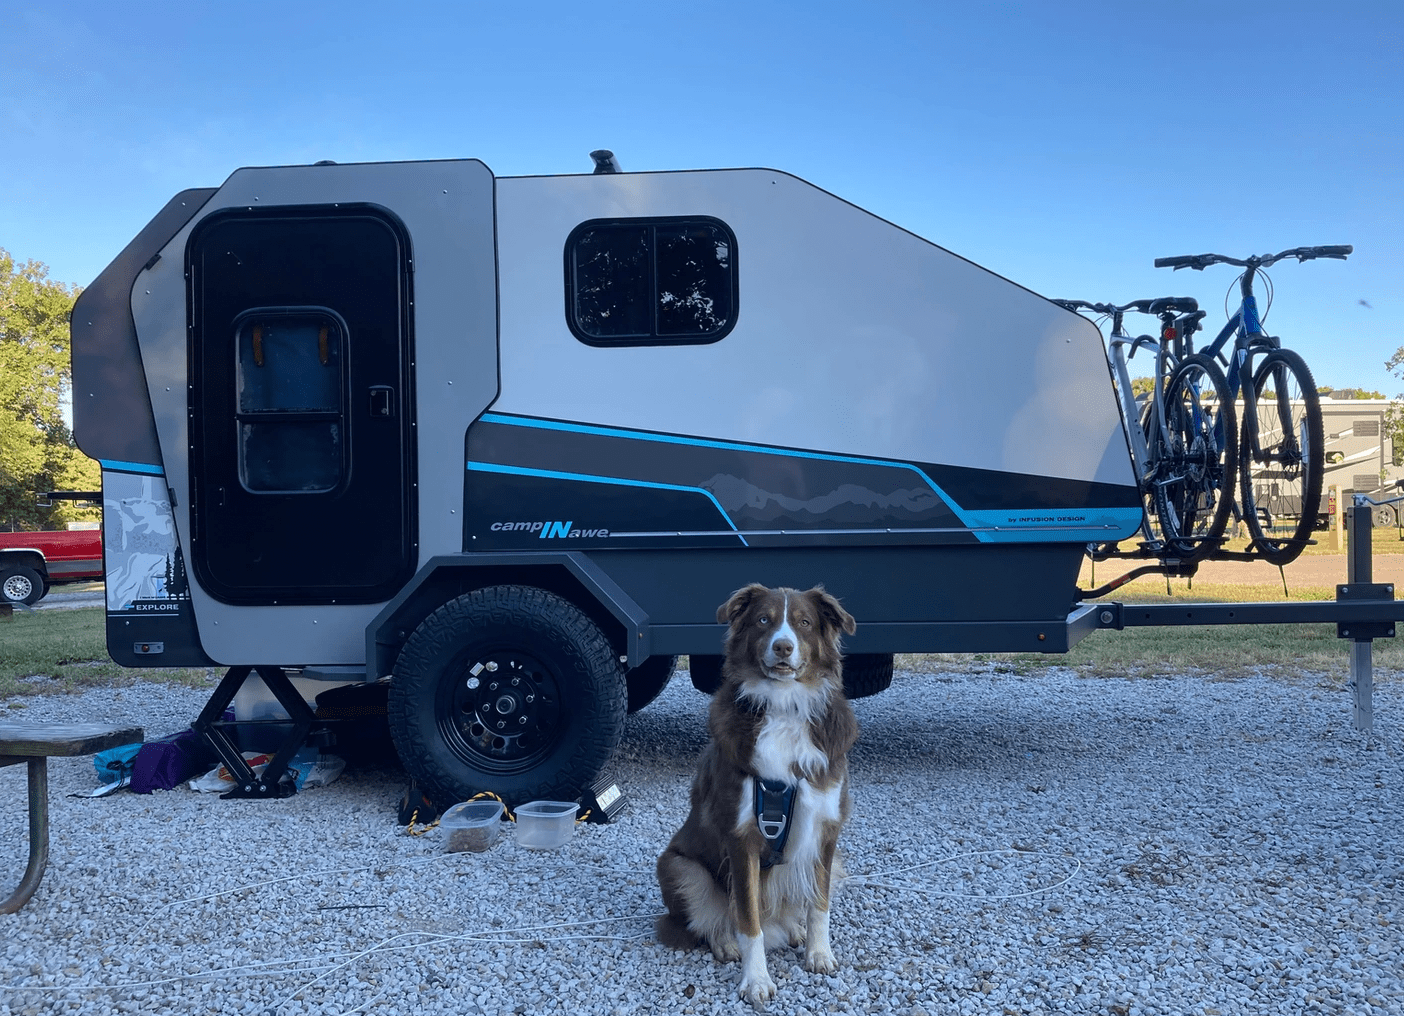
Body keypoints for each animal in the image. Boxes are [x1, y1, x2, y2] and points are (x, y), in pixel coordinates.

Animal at [654, 583, 853, 1004]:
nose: (783, 647)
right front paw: (756, 979)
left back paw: (793, 929)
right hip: (678, 866)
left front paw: (818, 953)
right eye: (764, 620)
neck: (785, 707)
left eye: (804, 623)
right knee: (712, 919)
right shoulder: (741, 837)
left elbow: (819, 904)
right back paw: (724, 941)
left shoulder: (827, 827)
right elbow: (748, 918)